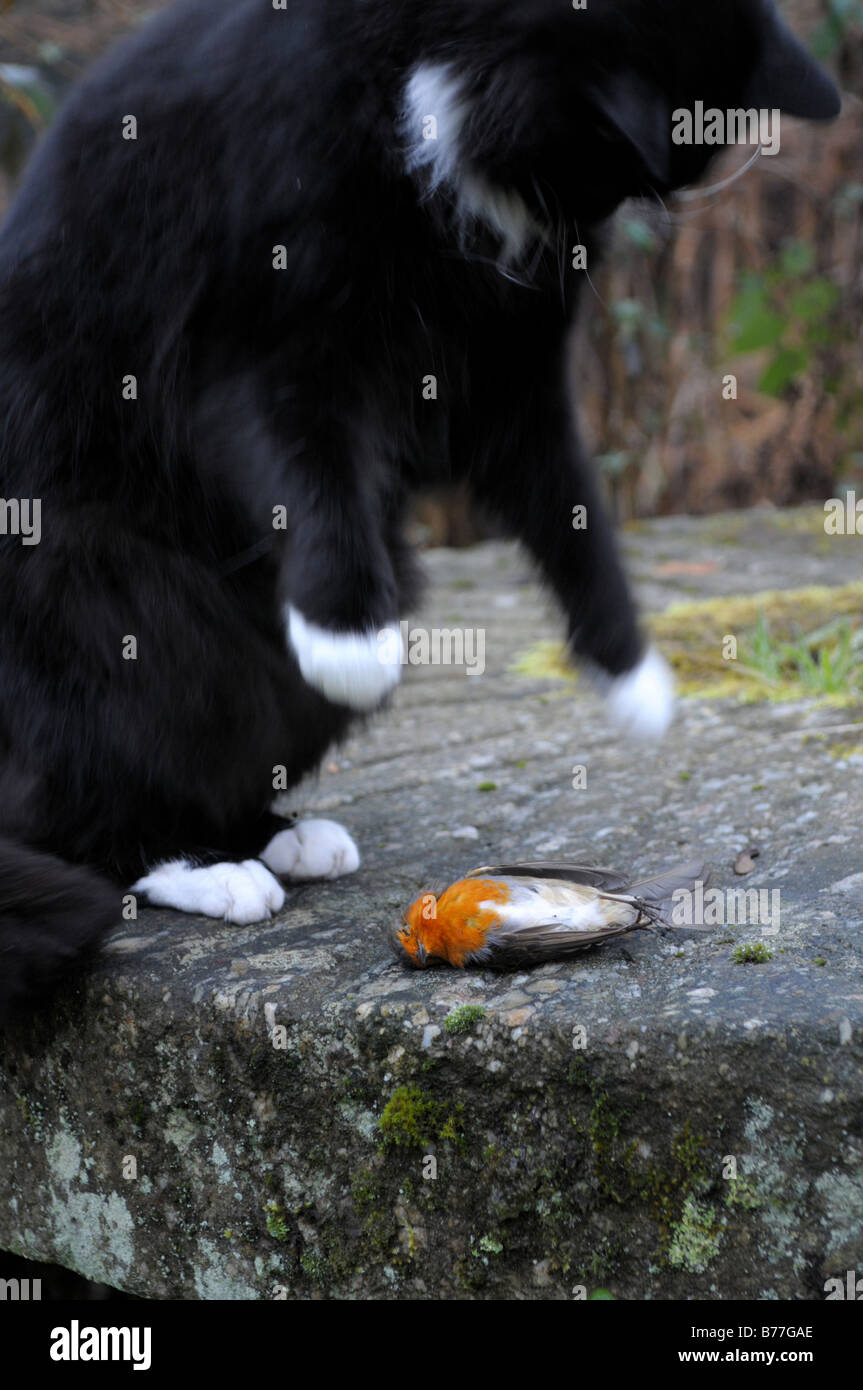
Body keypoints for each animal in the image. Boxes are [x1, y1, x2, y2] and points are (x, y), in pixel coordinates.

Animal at [0, 0, 839, 1006]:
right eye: (609, 167)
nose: (604, 232)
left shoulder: (511, 371)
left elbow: (571, 507)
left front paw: (630, 673)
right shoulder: (263, 339)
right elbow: (304, 464)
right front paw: (351, 640)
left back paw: (274, 835)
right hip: (93, 593)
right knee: (83, 784)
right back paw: (198, 862)